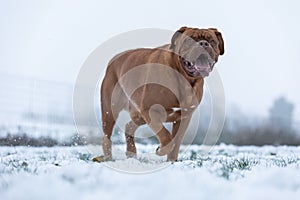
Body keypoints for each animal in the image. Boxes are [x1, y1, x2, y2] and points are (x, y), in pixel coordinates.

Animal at [92, 26, 224, 162]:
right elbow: (166, 137)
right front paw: (161, 150)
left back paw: (131, 154)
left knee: (129, 126)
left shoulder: (183, 117)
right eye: (188, 40)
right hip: (110, 110)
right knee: (107, 136)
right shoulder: (150, 110)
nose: (203, 43)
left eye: (212, 41)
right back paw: (107, 157)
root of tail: (113, 59)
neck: (183, 78)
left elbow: (176, 141)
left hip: (138, 114)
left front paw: (171, 161)